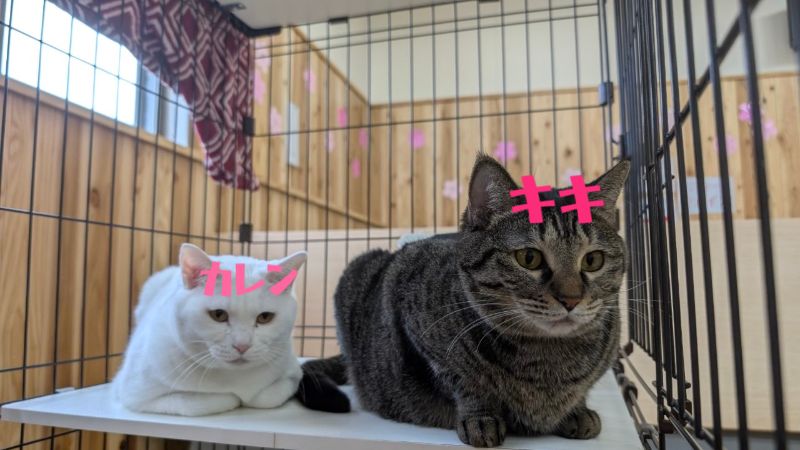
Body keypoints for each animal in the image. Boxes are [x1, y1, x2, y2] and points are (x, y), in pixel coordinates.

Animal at [113, 243, 306, 416]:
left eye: (265, 317)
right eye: (218, 314)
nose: (242, 345)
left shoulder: (293, 375)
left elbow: (267, 397)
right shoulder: (135, 394)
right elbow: (202, 402)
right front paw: (233, 399)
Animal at [296, 153, 630, 447]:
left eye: (593, 261)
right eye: (529, 258)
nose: (571, 299)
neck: (547, 359)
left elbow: (583, 387)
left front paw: (577, 410)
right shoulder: (413, 312)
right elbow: (463, 378)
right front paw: (480, 417)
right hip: (357, 269)